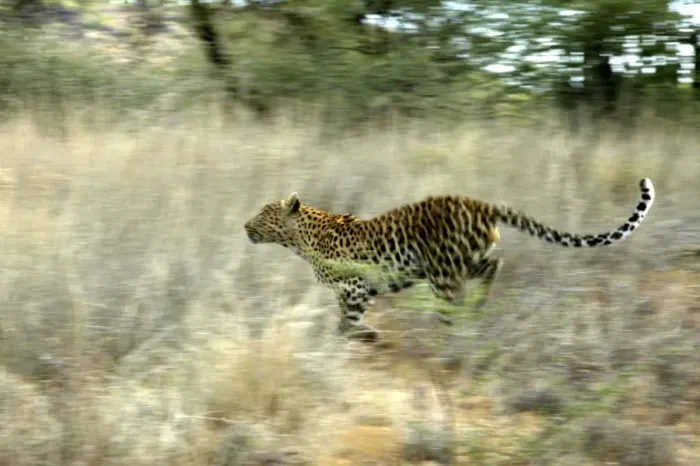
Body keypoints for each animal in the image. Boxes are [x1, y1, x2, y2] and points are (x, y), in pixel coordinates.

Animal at [244, 178, 655, 342]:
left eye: (263, 213)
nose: (245, 226)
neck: (300, 239)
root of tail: (481, 203)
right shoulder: (359, 290)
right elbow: (345, 322)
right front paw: (362, 336)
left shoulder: (356, 287)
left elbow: (346, 323)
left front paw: (363, 337)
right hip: (459, 261)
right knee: (493, 266)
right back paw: (478, 307)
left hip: (441, 272)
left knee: (454, 305)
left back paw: (458, 333)